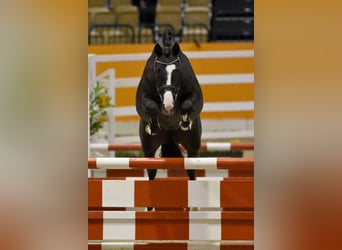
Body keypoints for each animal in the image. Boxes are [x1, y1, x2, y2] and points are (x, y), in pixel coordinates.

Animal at [135, 29, 203, 181]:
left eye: (177, 71)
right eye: (158, 70)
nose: (168, 105)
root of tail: (169, 133)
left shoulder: (195, 96)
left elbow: (187, 106)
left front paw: (185, 122)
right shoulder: (143, 98)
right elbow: (151, 107)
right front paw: (154, 126)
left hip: (192, 145)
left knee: (191, 169)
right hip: (149, 147)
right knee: (151, 170)